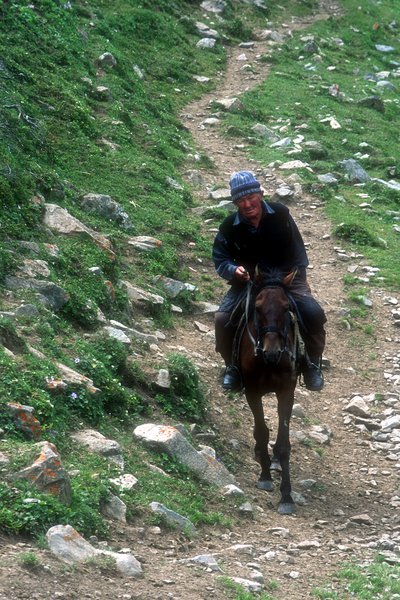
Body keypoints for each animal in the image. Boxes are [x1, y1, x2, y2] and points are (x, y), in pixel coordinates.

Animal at [236, 268, 302, 516]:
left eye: (286, 308)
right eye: (257, 307)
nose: (271, 352)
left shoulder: (286, 393)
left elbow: (283, 444)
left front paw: (287, 497)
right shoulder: (252, 391)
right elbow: (262, 431)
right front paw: (264, 477)